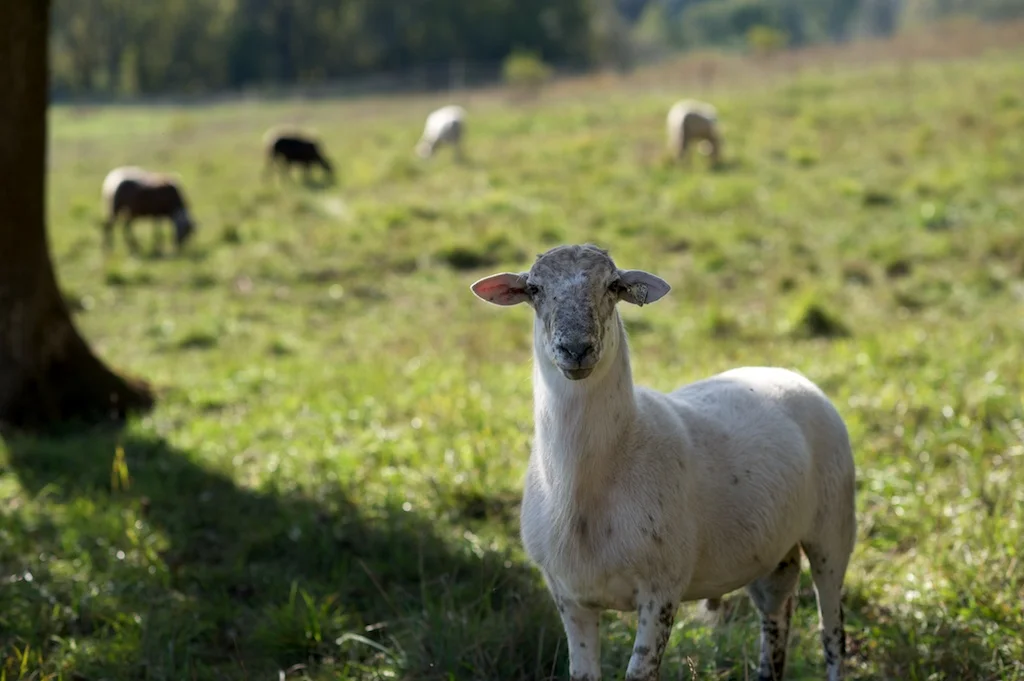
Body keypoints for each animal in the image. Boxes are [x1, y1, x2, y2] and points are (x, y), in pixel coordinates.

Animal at [470, 243, 856, 681]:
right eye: (533, 289)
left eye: (613, 286)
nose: (576, 349)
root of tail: (786, 373)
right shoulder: (569, 596)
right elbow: (583, 673)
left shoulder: (662, 591)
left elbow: (640, 673)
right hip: (771, 548)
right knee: (777, 611)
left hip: (833, 528)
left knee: (832, 631)